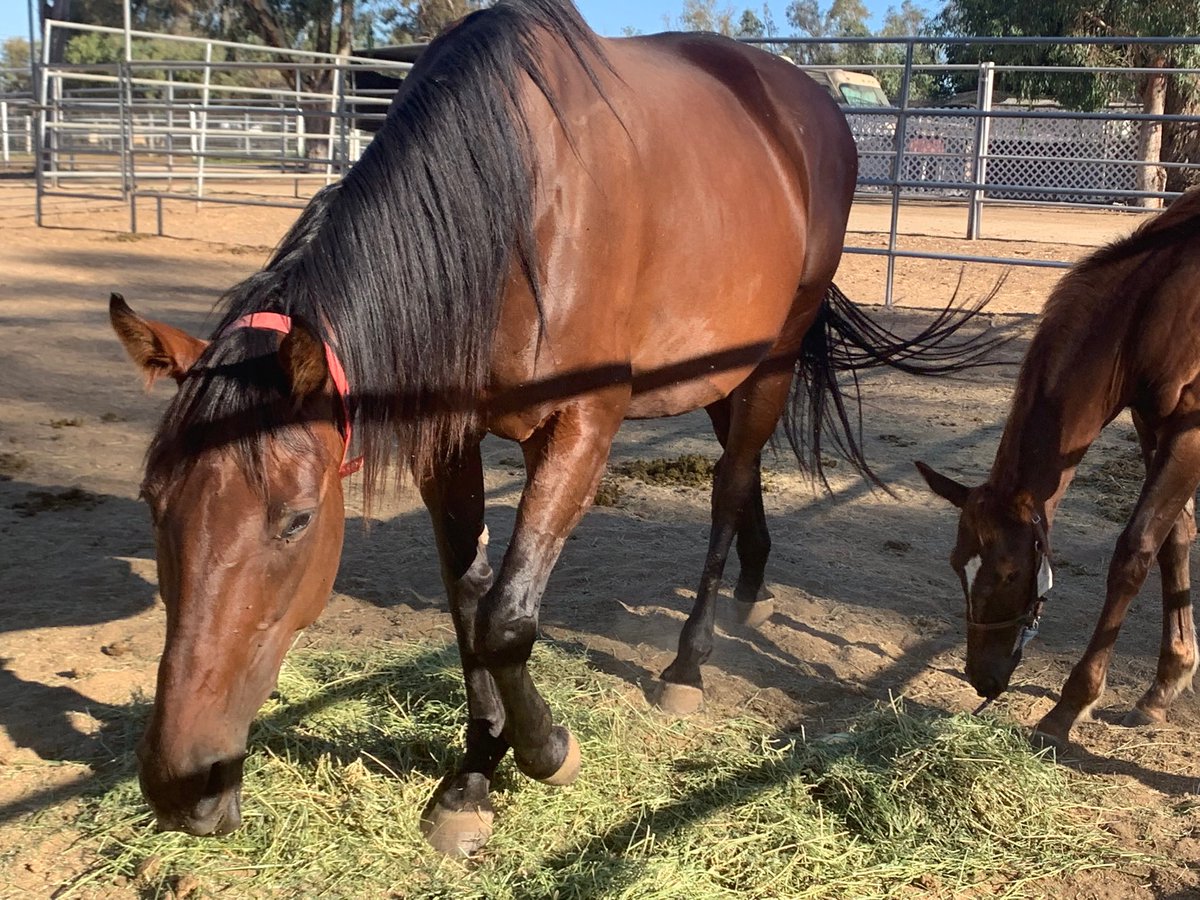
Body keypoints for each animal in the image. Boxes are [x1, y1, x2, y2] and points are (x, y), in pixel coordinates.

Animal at [110, 0, 997, 856]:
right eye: (153, 502)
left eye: (295, 521)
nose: (179, 786)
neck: (510, 217)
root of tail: (805, 100)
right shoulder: (449, 442)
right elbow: (468, 609)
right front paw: (471, 779)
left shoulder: (583, 426)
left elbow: (506, 621)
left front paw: (545, 753)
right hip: (722, 367)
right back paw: (753, 582)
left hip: (774, 356)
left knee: (730, 483)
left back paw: (689, 661)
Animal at [918, 188, 1200, 749]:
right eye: (959, 565)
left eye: (1009, 572)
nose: (982, 678)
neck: (1159, 301)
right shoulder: (1152, 422)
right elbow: (1174, 539)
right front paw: (1165, 685)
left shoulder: (1191, 431)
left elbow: (1134, 551)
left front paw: (1069, 706)